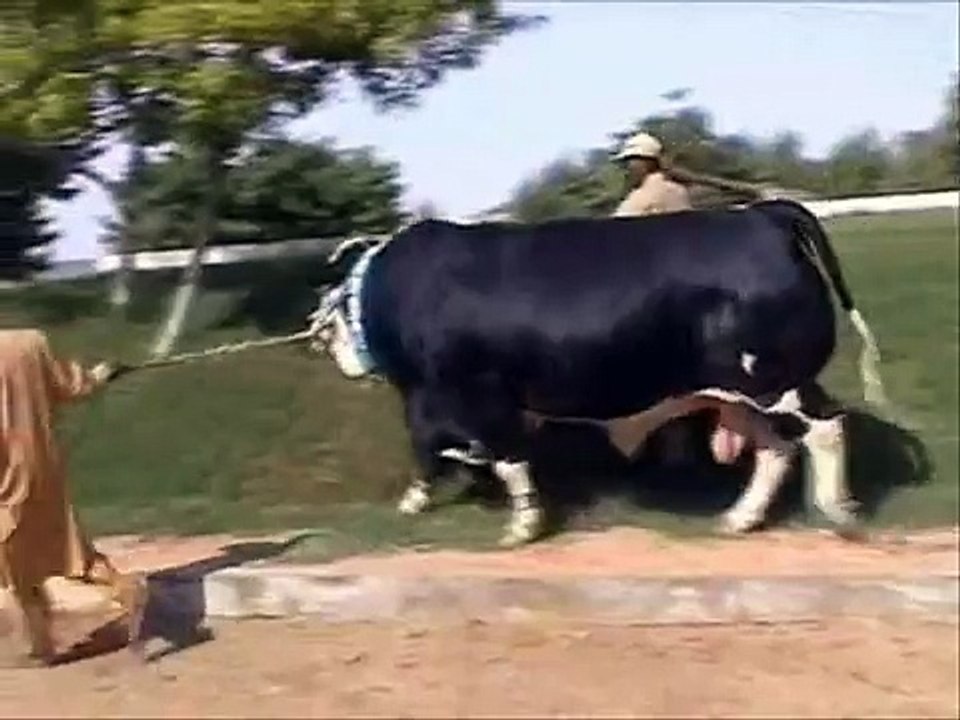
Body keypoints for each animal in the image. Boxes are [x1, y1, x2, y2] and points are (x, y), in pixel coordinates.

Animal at [306, 199, 887, 547]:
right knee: (776, 448)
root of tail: (761, 214)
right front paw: (420, 500)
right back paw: (739, 519)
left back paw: (838, 510)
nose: (322, 340)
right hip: (740, 393)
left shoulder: (476, 397)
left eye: (331, 306)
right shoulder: (438, 399)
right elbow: (437, 450)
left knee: (825, 429)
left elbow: (500, 459)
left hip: (775, 382)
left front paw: (520, 526)